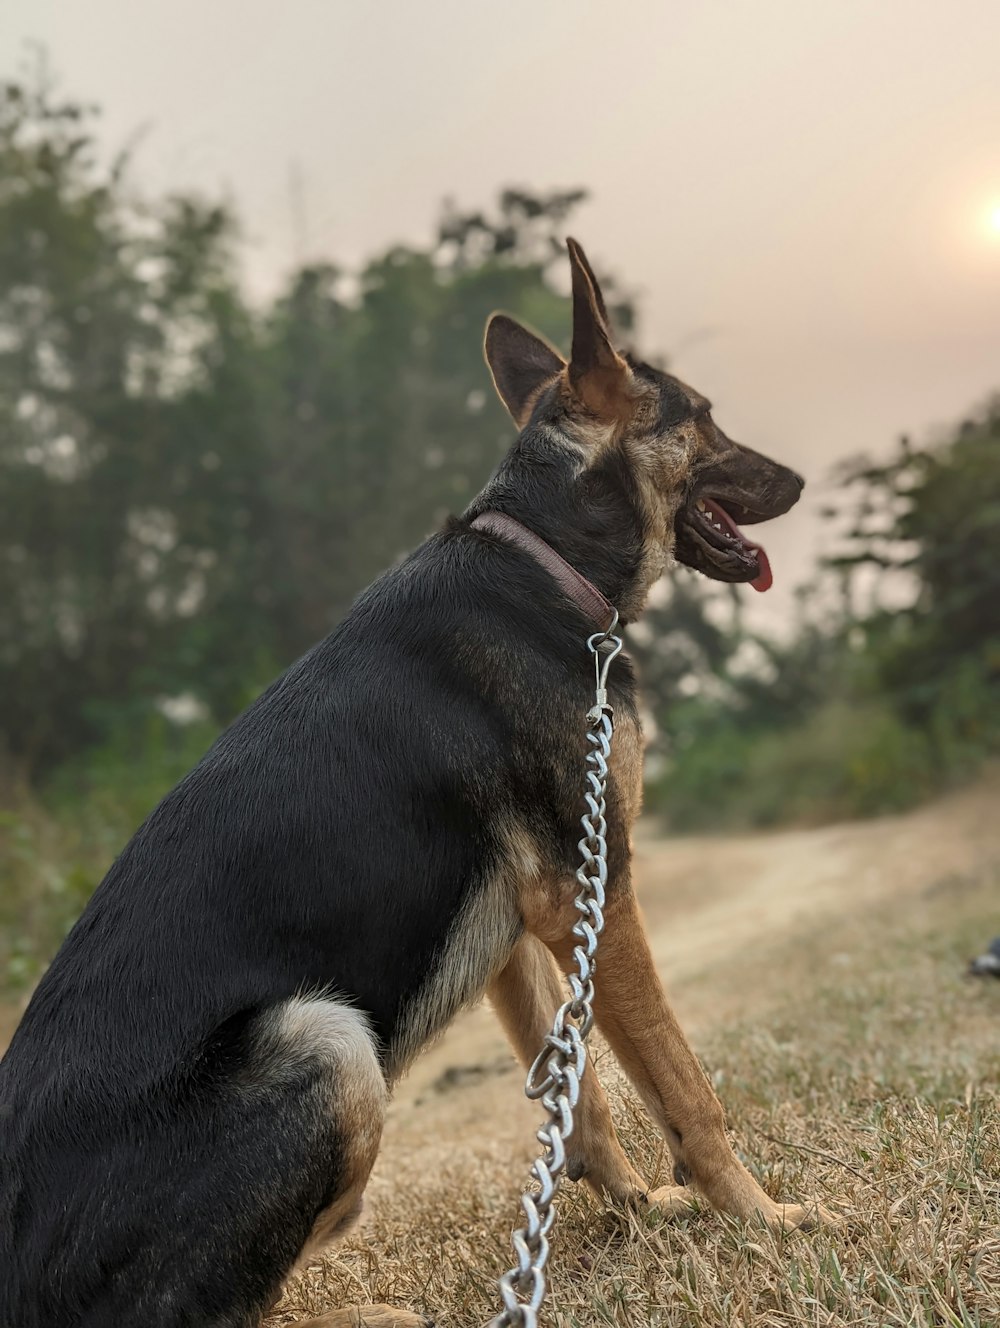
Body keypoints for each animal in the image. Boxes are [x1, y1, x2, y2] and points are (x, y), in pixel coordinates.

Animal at [0, 241, 828, 1328]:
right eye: (704, 415)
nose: (803, 478)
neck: (545, 565)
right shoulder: (592, 892)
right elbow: (684, 1086)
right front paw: (761, 1218)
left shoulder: (521, 924)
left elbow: (581, 1097)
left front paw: (638, 1209)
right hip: (325, 1039)